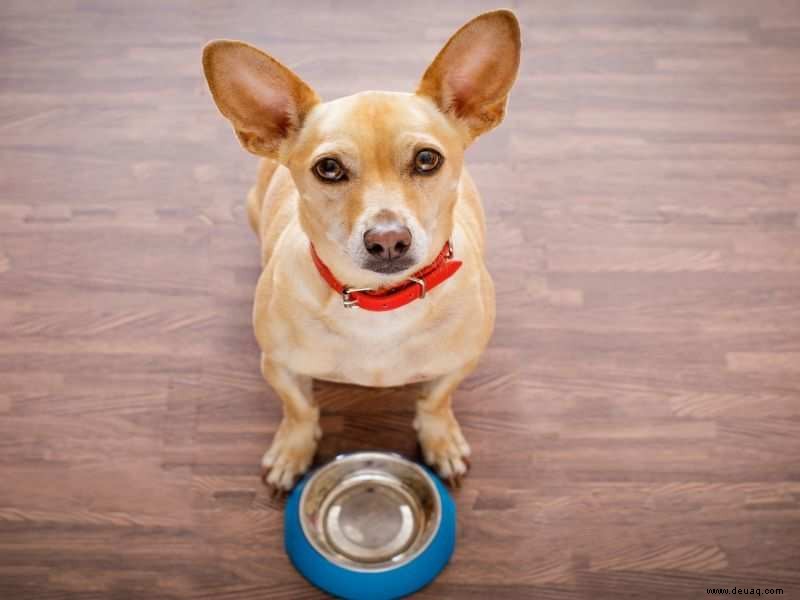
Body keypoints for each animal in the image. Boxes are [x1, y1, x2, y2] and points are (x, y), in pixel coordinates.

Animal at [203, 9, 520, 490]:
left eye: (427, 159)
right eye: (329, 168)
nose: (388, 239)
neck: (380, 304)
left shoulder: (459, 364)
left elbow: (435, 401)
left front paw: (441, 439)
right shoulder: (278, 366)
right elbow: (299, 409)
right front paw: (293, 450)